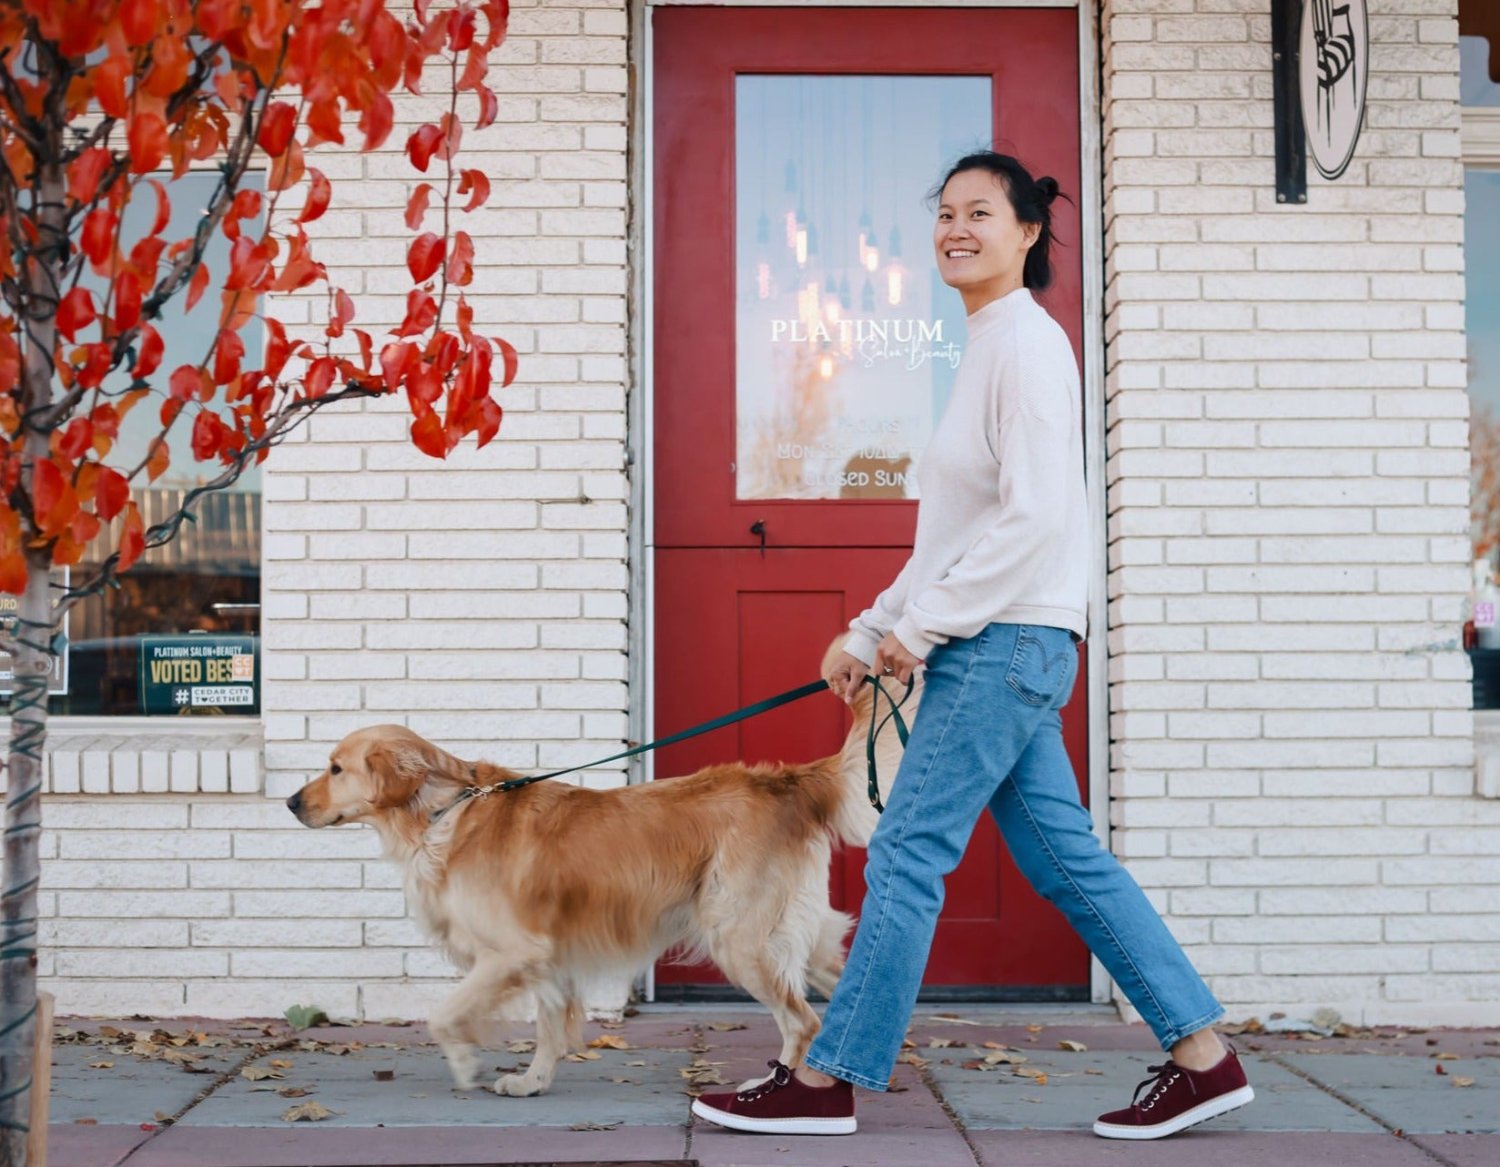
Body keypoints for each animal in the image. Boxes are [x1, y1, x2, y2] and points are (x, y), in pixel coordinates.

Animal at [282, 642, 912, 1098]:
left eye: (335, 768)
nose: (289, 802)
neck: (443, 809)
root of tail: (785, 781)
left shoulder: (513, 951)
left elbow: (445, 1015)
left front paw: (466, 1065)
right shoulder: (546, 956)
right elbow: (547, 1025)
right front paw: (532, 1082)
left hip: (739, 937)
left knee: (802, 1021)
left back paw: (774, 1088)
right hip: (795, 937)